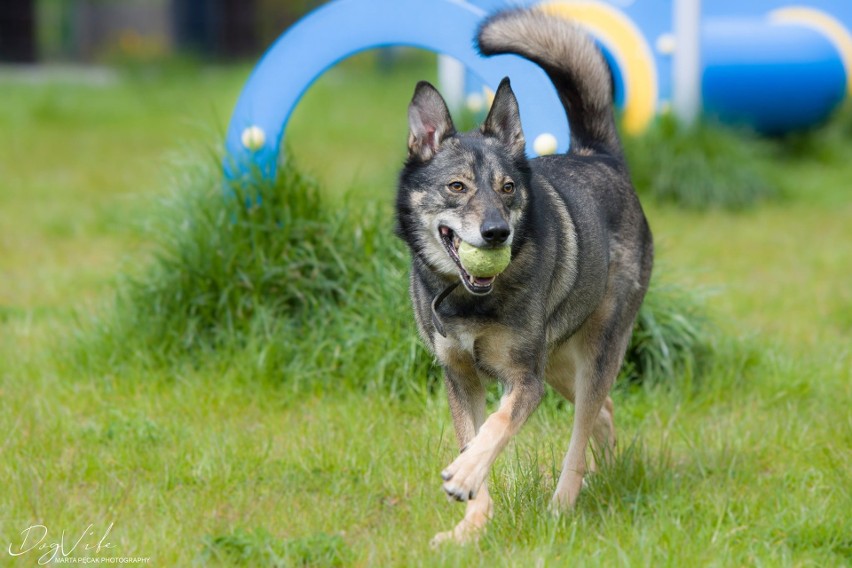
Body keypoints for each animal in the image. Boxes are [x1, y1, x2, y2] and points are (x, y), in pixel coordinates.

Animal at [392, 6, 652, 544]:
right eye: (457, 186)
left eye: (508, 187)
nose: (496, 233)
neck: (468, 300)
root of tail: (600, 156)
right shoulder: (460, 377)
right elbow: (475, 437)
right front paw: (471, 527)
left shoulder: (524, 381)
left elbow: (495, 427)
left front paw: (464, 475)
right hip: (556, 362)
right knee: (602, 413)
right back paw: (605, 474)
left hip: (590, 352)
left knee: (581, 429)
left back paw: (564, 503)